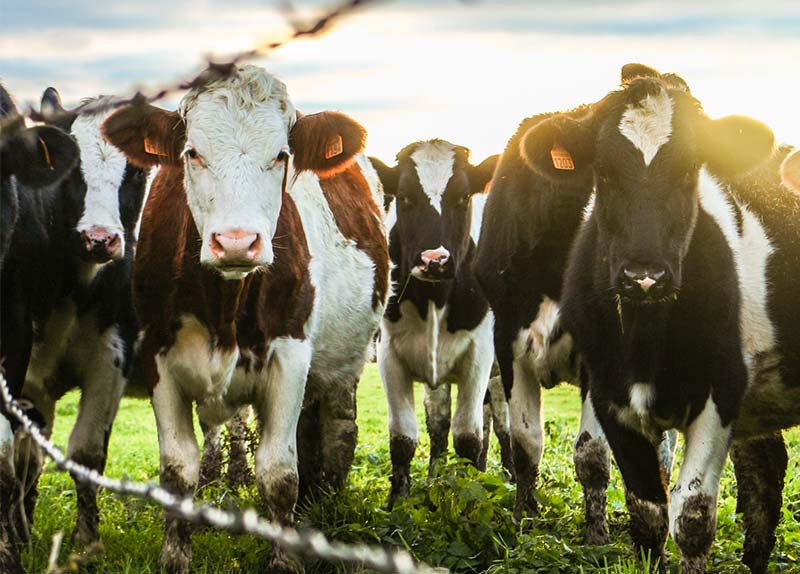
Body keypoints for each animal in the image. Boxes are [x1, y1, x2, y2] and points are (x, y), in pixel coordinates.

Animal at [1, 88, 150, 560]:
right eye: (70, 173)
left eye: (137, 171)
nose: (99, 239)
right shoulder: (28, 370)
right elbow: (26, 458)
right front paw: (20, 536)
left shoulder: (112, 356)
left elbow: (85, 452)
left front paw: (88, 542)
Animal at [101, 64, 390, 574]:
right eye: (192, 153)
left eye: (281, 155)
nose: (237, 242)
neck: (224, 306)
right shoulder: (158, 361)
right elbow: (177, 471)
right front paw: (175, 557)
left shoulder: (291, 357)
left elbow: (278, 473)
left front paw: (285, 560)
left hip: (346, 360)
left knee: (338, 430)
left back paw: (328, 505)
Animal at [368, 143, 494, 508]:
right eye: (404, 197)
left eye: (463, 196)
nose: (434, 260)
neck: (434, 299)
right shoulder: (389, 355)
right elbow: (403, 437)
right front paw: (398, 502)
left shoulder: (481, 354)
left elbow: (468, 437)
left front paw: (470, 500)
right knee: (439, 424)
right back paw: (435, 479)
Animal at [520, 68, 792, 574]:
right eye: (604, 173)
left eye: (689, 170)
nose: (643, 277)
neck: (645, 342)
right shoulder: (609, 394)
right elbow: (647, 513)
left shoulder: (721, 391)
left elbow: (692, 515)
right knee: (765, 474)